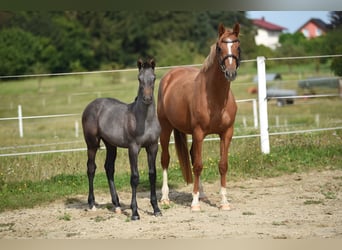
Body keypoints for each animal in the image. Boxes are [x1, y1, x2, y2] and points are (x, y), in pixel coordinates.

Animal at [157, 23, 240, 211]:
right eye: (219, 47)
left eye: (238, 46)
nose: (230, 73)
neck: (215, 98)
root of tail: (169, 76)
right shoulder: (199, 132)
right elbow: (198, 166)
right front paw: (194, 203)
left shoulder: (226, 133)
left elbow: (222, 165)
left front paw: (224, 202)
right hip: (165, 128)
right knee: (165, 159)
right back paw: (165, 198)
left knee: (192, 156)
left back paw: (201, 193)